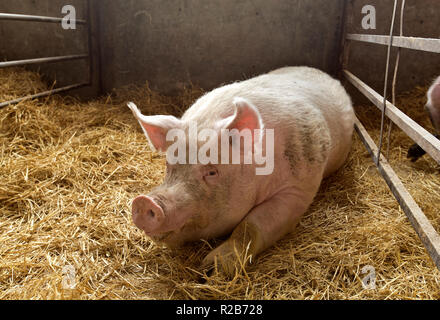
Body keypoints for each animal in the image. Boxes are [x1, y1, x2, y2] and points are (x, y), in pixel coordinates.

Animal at [126, 65, 354, 276]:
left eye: (212, 172)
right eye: (168, 164)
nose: (144, 202)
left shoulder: (299, 187)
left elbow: (250, 226)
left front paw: (211, 269)